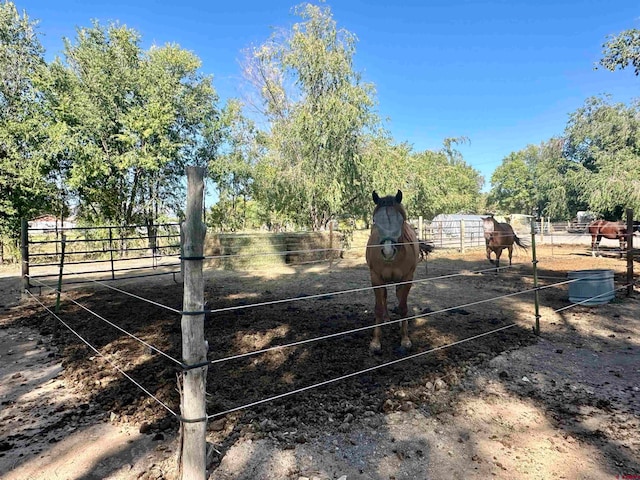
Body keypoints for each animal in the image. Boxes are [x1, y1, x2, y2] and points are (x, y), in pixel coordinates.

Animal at [364, 190, 420, 352]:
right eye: (375, 220)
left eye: (401, 221)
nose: (388, 252)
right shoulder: (376, 279)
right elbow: (378, 308)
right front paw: (375, 341)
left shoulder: (407, 279)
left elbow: (403, 307)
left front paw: (405, 339)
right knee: (384, 297)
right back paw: (386, 319)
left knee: (398, 296)